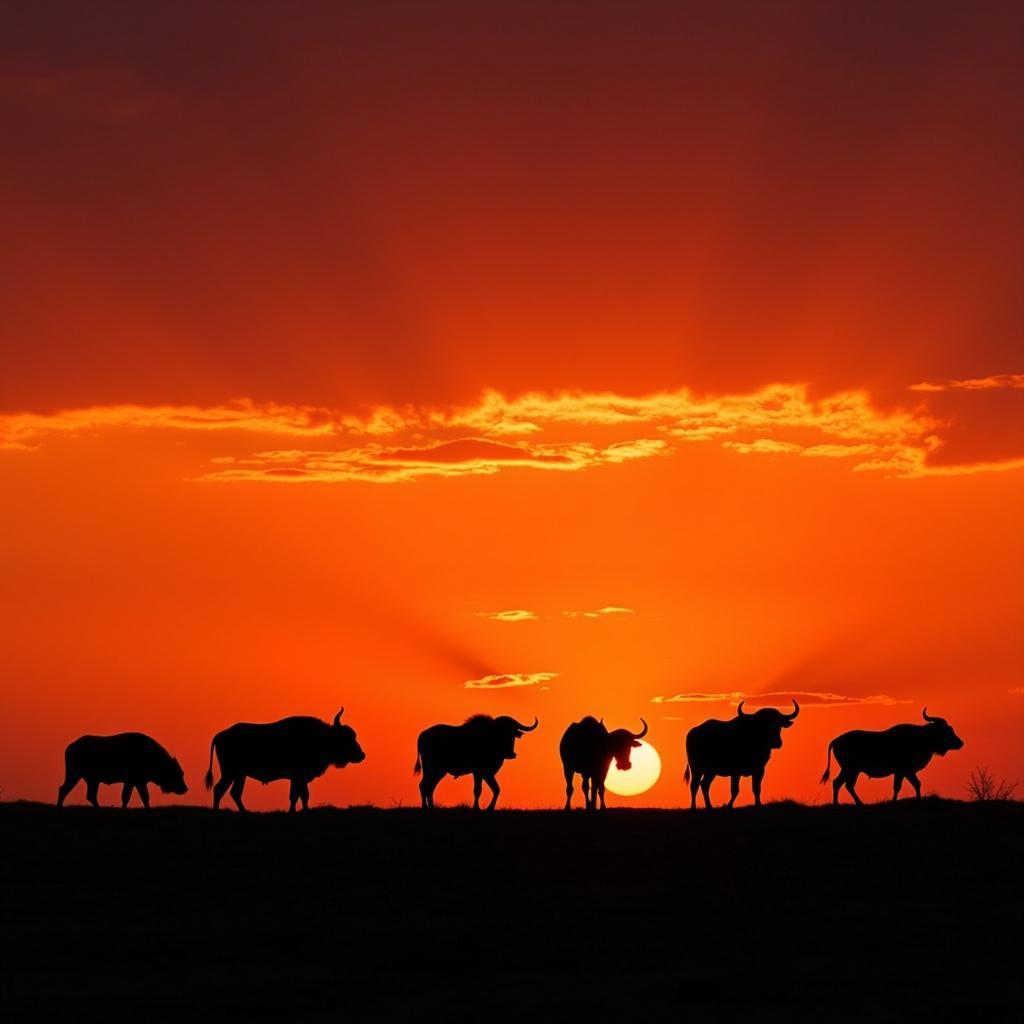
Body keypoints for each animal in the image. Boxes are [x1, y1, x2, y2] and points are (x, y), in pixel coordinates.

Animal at [55, 737, 188, 806]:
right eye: (177, 774)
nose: (185, 788)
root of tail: (70, 747)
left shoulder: (134, 782)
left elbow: (134, 797)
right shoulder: (135, 781)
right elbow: (137, 797)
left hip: (91, 780)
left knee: (88, 795)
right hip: (75, 775)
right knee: (65, 790)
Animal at [202, 708, 364, 811]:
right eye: (346, 738)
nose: (362, 755)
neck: (321, 737)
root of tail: (220, 735)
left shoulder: (297, 779)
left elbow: (298, 796)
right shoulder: (299, 777)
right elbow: (301, 795)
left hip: (240, 775)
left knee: (234, 792)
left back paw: (244, 812)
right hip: (230, 773)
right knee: (220, 789)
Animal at [819, 708, 962, 802]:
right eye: (946, 730)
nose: (960, 743)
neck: (920, 738)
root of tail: (836, 740)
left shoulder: (905, 772)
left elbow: (915, 784)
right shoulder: (903, 771)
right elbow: (899, 786)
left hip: (853, 770)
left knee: (845, 785)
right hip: (850, 769)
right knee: (839, 783)